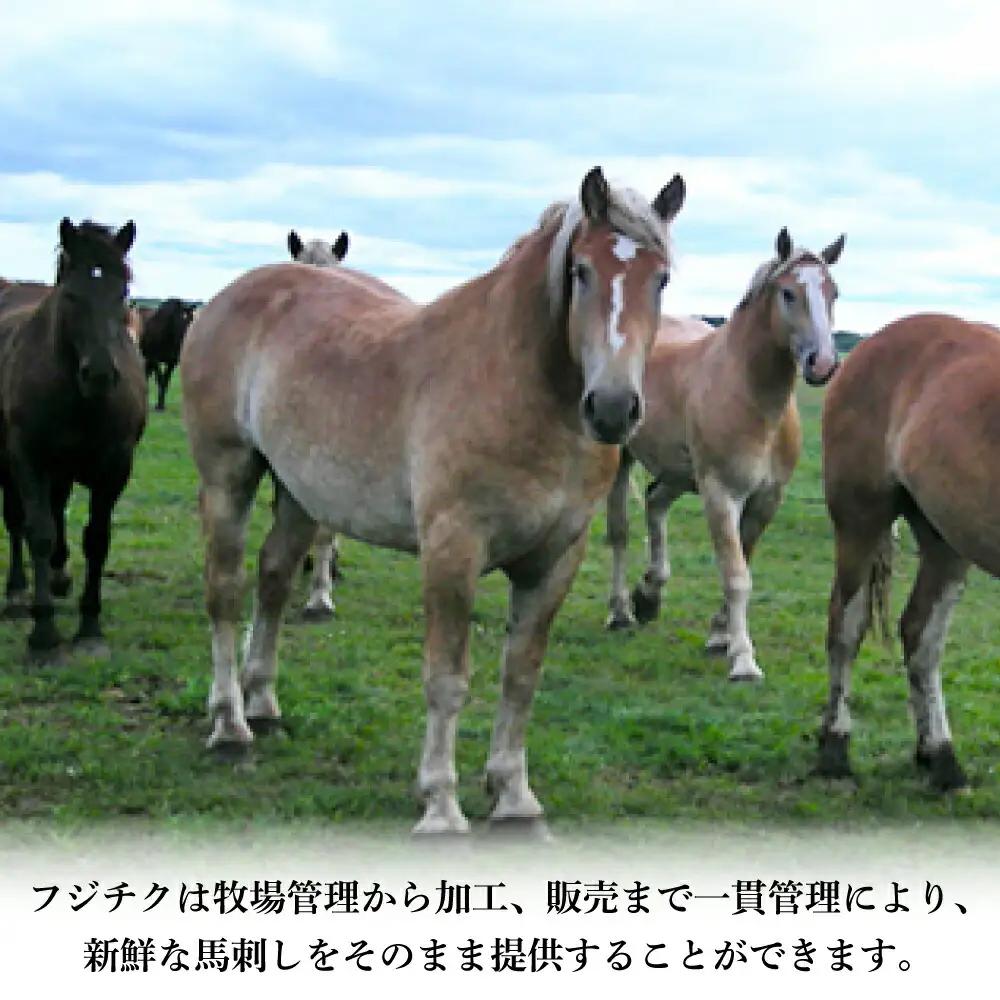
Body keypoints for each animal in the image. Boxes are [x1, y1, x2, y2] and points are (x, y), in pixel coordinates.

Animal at [0, 218, 146, 658]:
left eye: (123, 293)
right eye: (71, 295)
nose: (99, 374)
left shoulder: (115, 466)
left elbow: (97, 538)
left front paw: (90, 626)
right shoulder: (27, 459)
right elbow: (38, 532)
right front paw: (43, 632)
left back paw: (59, 576)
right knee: (16, 520)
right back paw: (17, 592)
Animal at [181, 166, 685, 833]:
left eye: (661, 277)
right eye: (580, 271)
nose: (611, 407)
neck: (520, 389)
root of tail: (228, 297)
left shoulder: (557, 558)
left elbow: (521, 676)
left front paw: (514, 797)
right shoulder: (452, 550)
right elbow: (447, 680)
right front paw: (441, 806)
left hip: (298, 493)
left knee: (273, 579)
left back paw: (262, 703)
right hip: (228, 478)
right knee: (225, 592)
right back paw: (230, 727)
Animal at [605, 228, 845, 681]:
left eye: (833, 291)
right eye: (789, 293)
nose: (822, 364)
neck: (749, 395)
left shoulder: (765, 500)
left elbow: (743, 562)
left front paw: (720, 636)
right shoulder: (721, 494)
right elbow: (736, 575)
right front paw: (744, 659)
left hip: (678, 474)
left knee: (655, 503)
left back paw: (650, 595)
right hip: (621, 460)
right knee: (619, 531)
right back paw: (622, 612)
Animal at [817, 313, 1000, 792]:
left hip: (944, 540)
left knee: (921, 635)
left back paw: (938, 756)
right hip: (860, 520)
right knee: (846, 625)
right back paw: (834, 748)